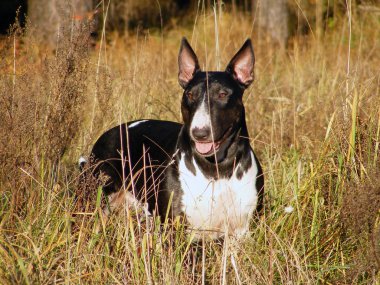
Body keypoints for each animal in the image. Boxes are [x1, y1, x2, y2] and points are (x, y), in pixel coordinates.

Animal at [84, 37, 264, 237]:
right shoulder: (174, 229)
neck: (217, 169)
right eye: (190, 94)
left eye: (223, 94)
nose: (199, 133)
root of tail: (108, 132)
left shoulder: (240, 232)